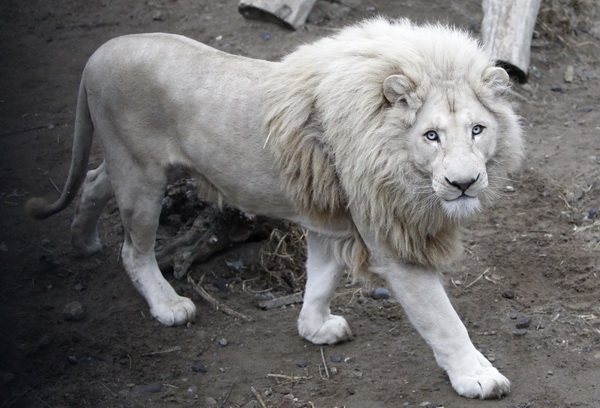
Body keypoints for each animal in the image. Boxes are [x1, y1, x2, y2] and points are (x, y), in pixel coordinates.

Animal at [27, 18, 520, 398]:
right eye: (431, 136)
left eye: (477, 130)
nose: (463, 183)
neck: (396, 154)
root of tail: (101, 52)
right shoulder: (391, 240)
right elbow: (443, 319)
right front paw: (477, 377)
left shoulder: (330, 219)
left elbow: (321, 278)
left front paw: (314, 328)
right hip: (141, 177)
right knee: (132, 249)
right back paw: (168, 304)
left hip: (126, 165)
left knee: (93, 182)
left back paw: (83, 239)